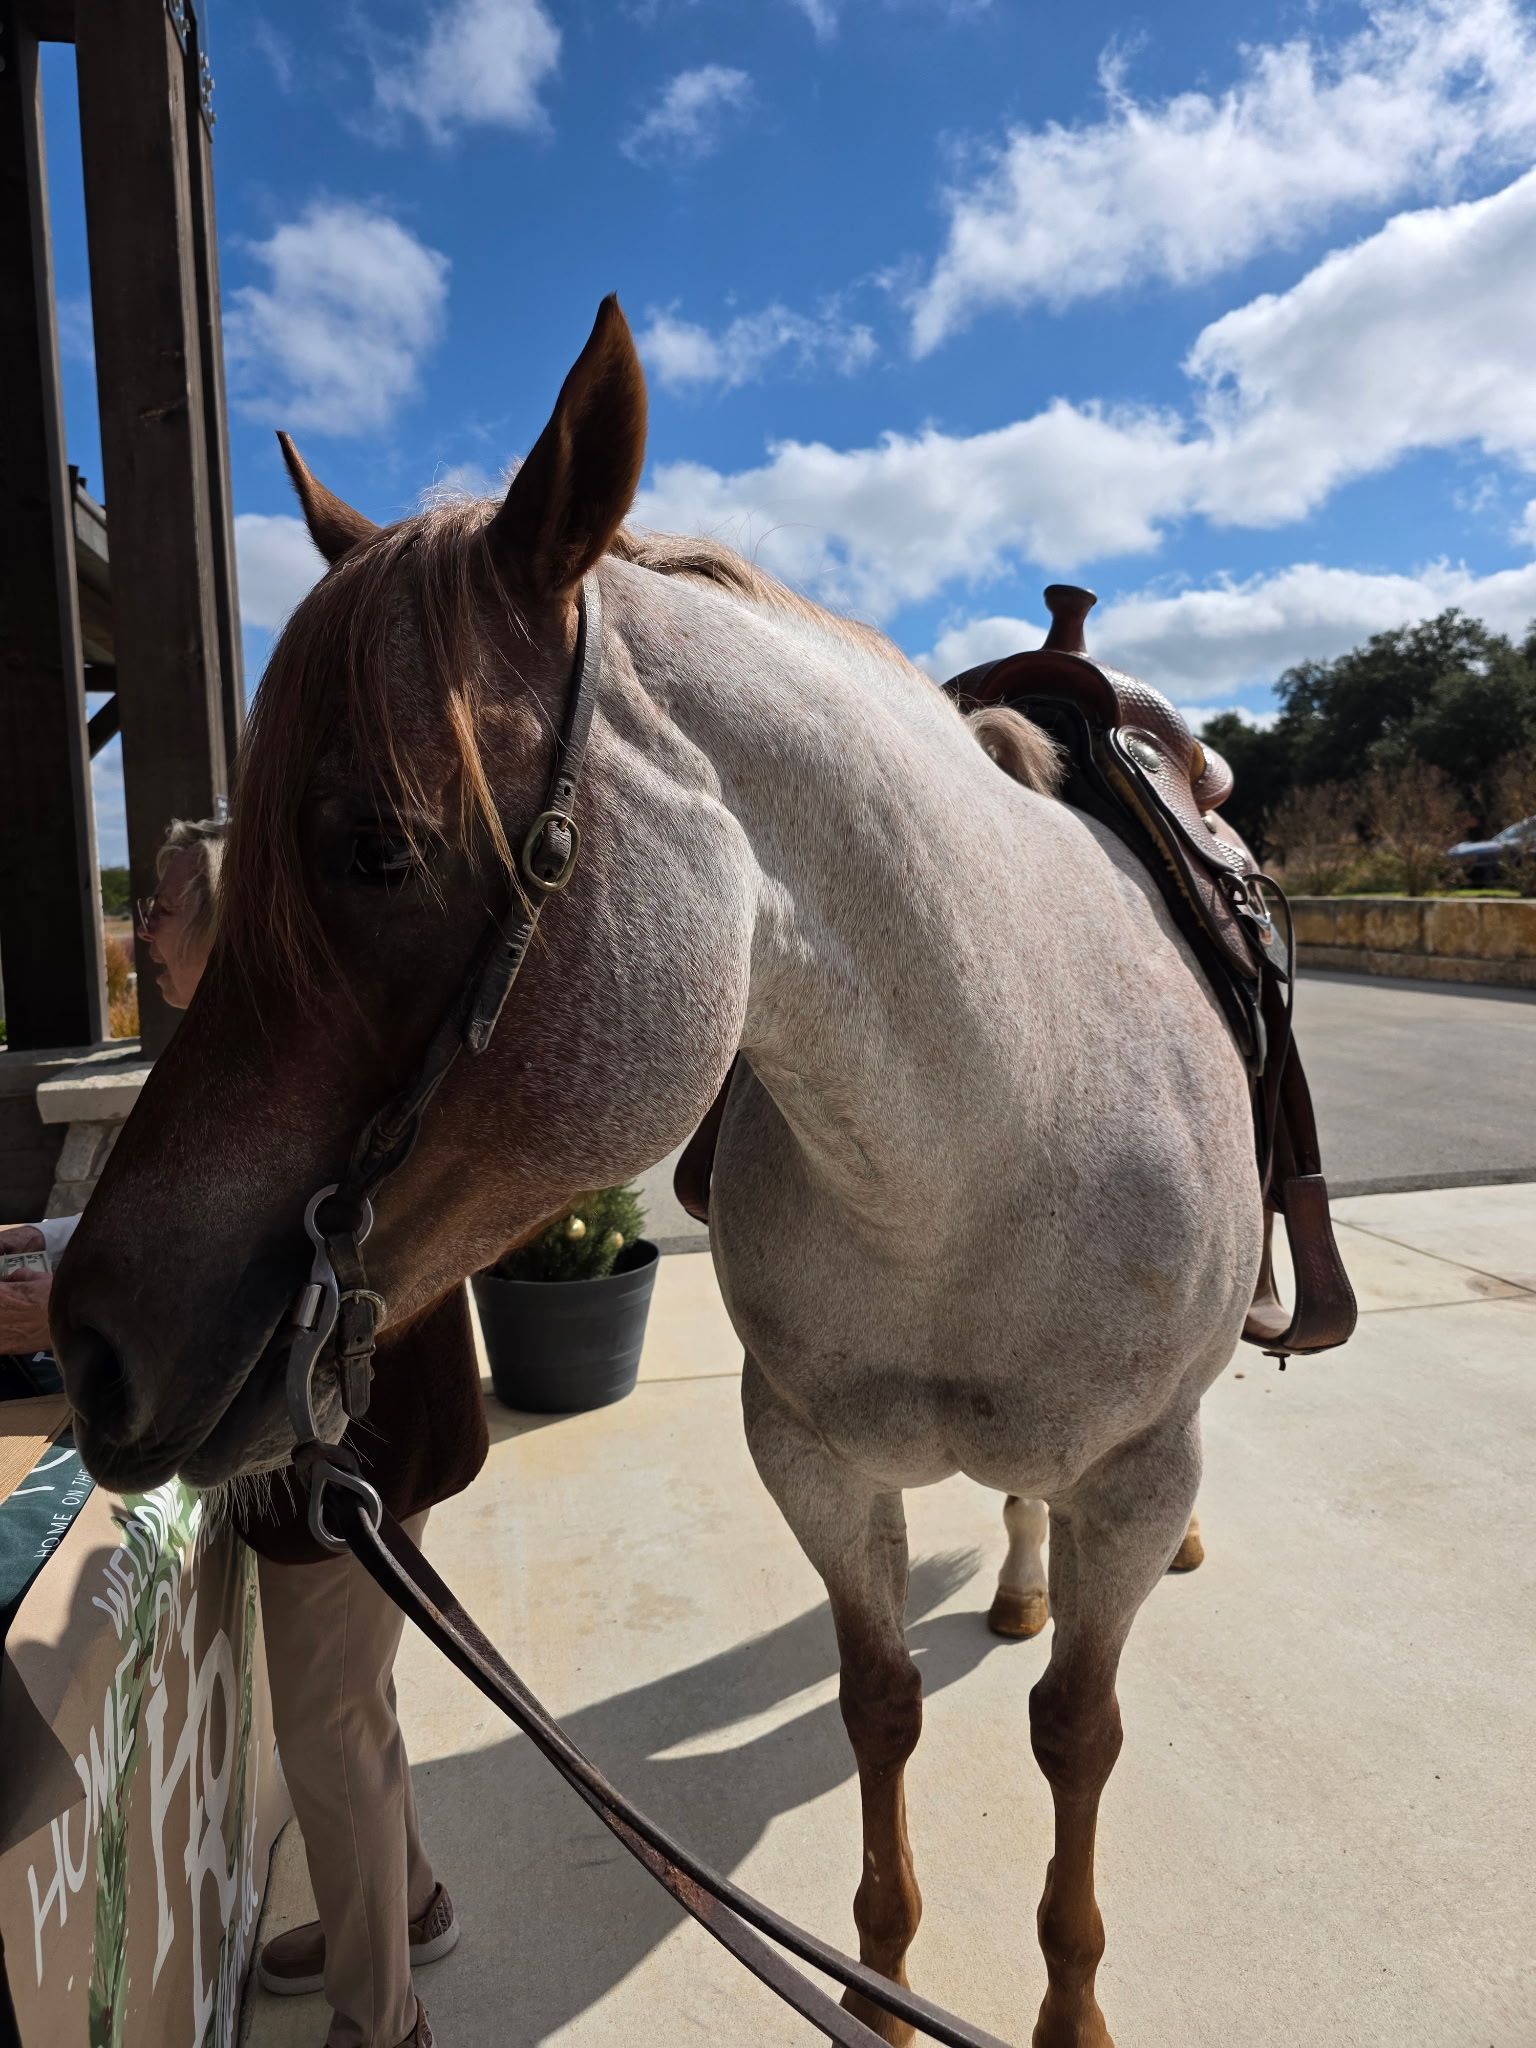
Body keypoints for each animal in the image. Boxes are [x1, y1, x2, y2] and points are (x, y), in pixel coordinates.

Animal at [53, 298, 1262, 2048]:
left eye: (378, 844)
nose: (85, 1344)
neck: (982, 1154)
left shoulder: (1134, 1466)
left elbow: (1076, 1738)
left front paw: (1069, 2011)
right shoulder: (811, 1460)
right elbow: (880, 1706)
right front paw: (885, 1989)